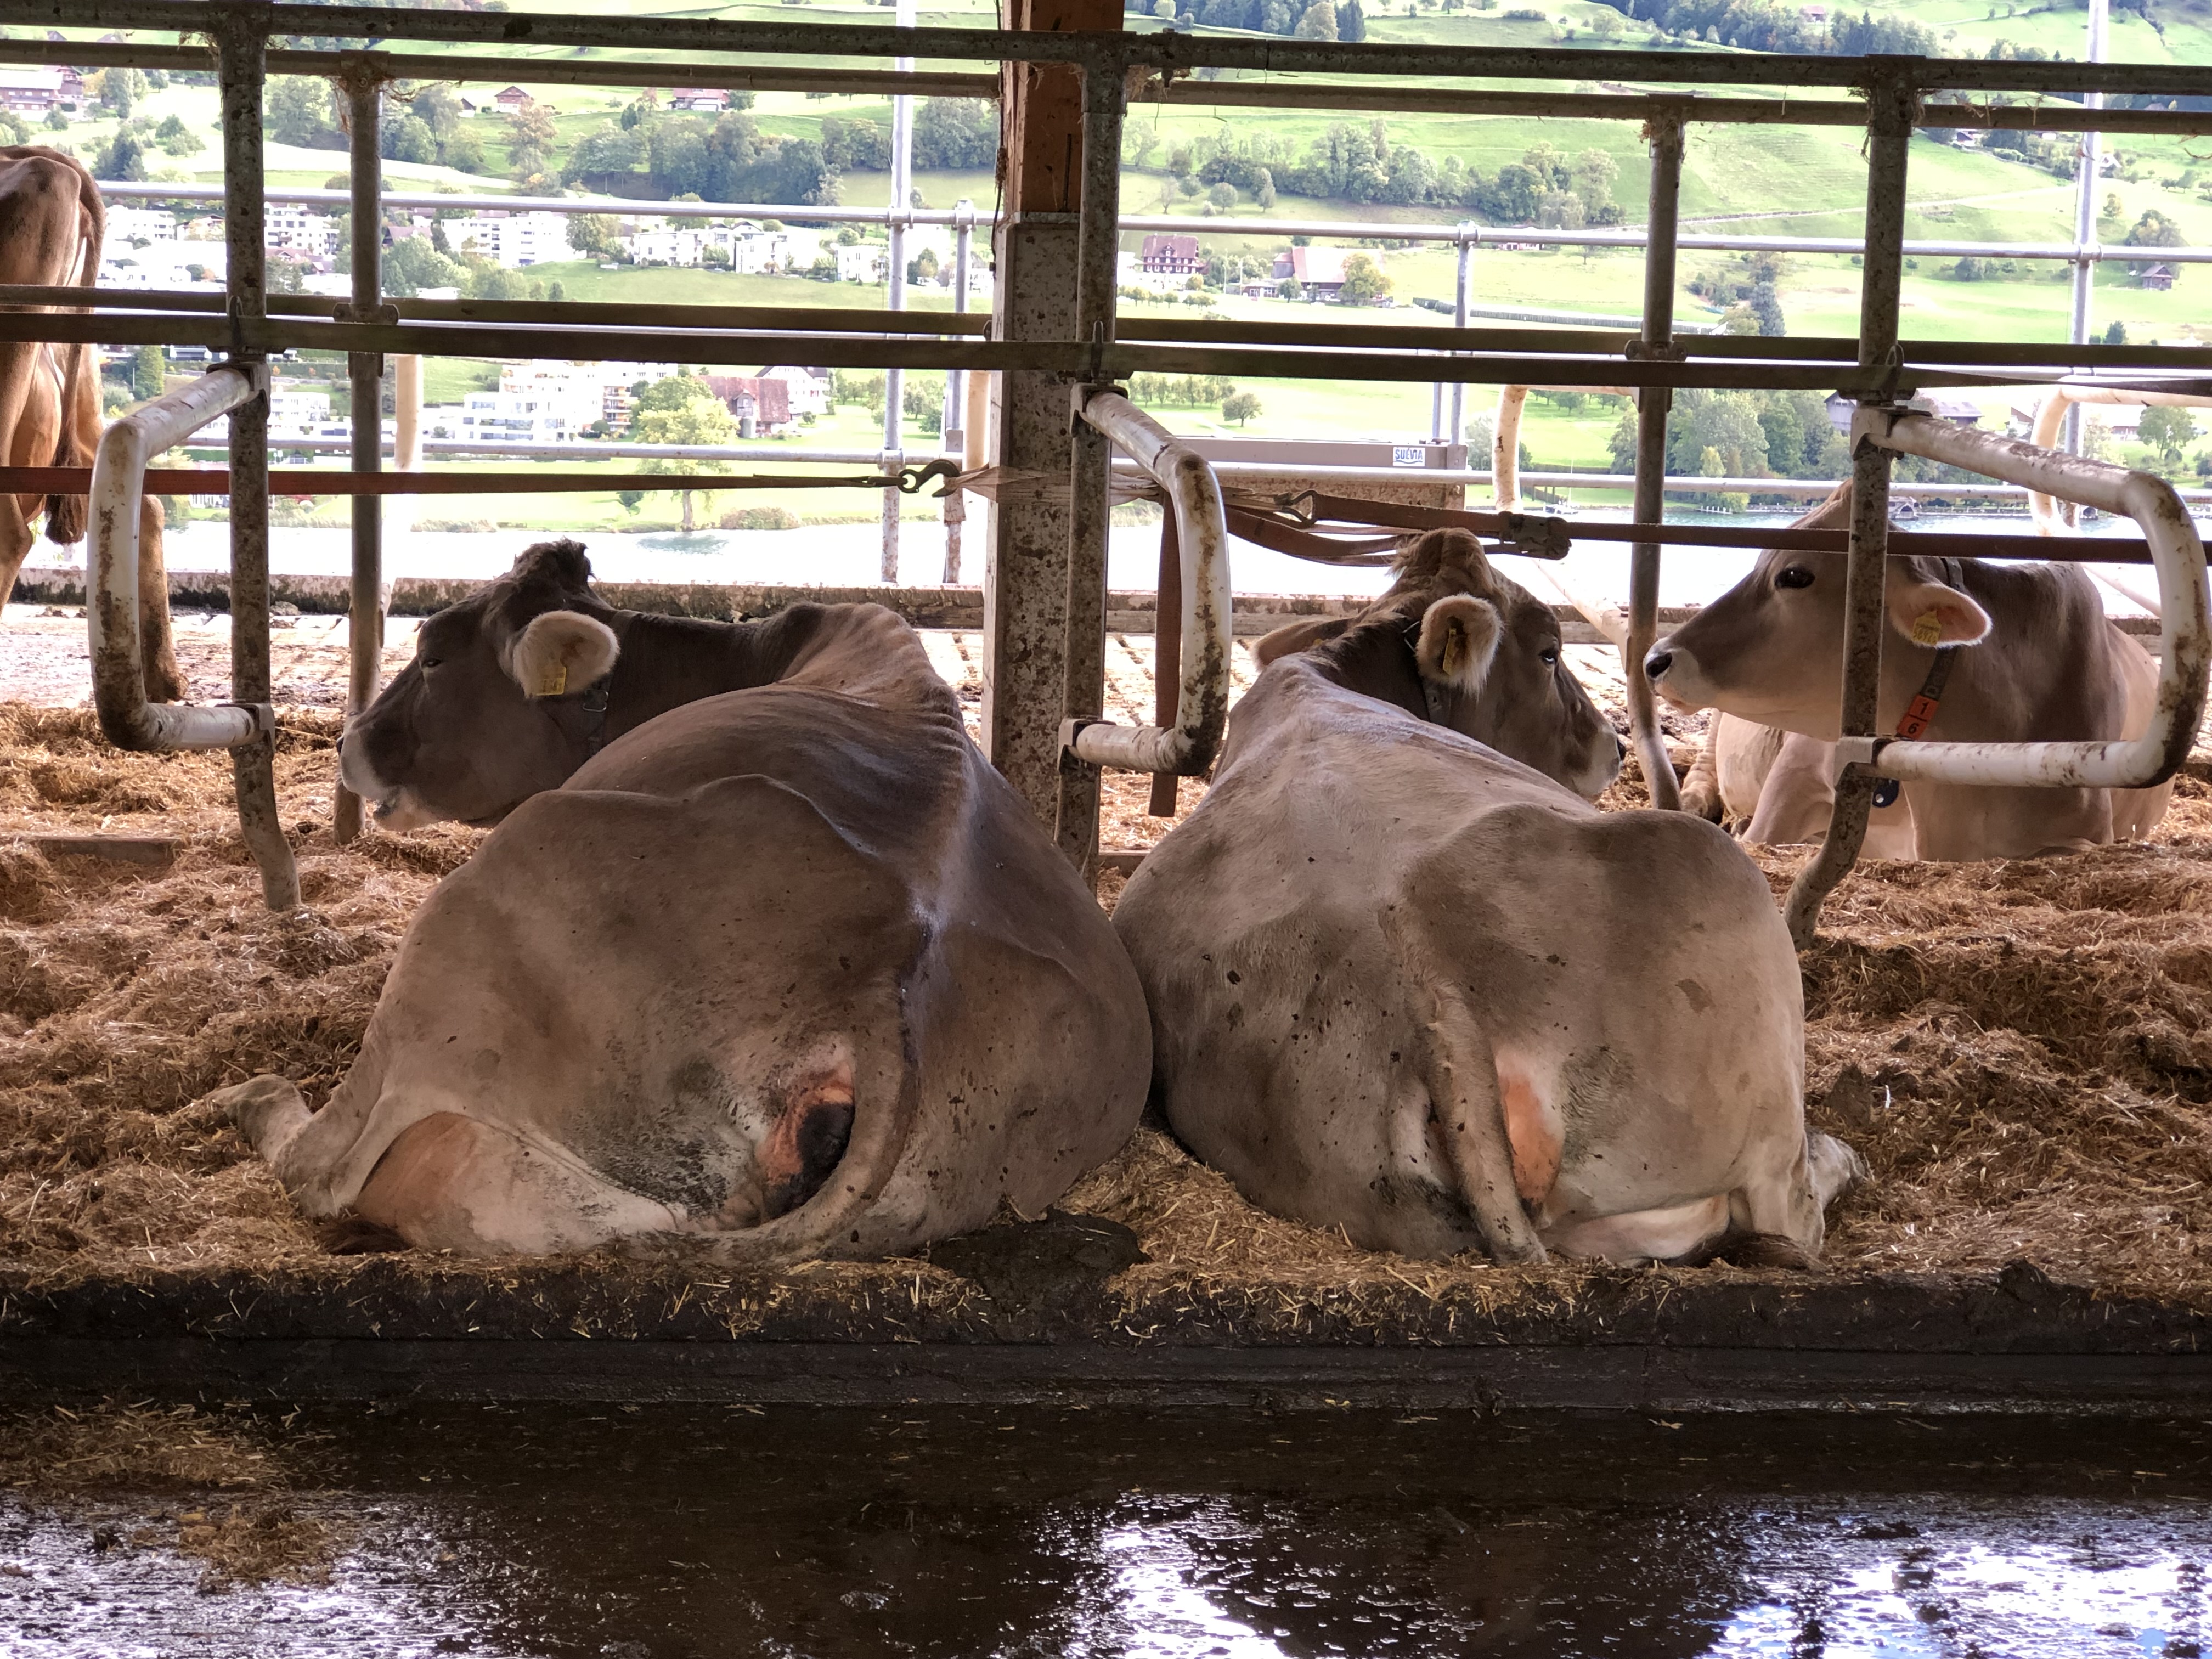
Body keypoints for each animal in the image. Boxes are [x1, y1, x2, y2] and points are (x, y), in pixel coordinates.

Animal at [211, 539, 1151, 1260]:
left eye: (434, 650)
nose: (350, 743)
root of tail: (885, 971)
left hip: (472, 919)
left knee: (334, 1165)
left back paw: (256, 1098)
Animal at [1113, 529, 1862, 1265]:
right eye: (1549, 652)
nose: (1616, 746)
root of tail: (1434, 990)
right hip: (1728, 912)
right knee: (1789, 1206)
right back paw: (1841, 1158)